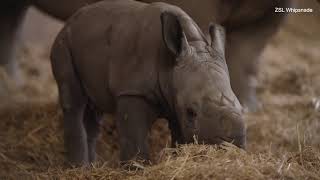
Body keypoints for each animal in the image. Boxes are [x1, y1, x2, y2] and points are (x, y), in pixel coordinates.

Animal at [50, 0, 245, 166]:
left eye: (243, 109)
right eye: (191, 112)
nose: (235, 143)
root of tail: (69, 22)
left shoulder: (175, 98)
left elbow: (180, 134)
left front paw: (178, 157)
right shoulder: (132, 90)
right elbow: (134, 136)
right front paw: (136, 168)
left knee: (93, 108)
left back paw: (91, 167)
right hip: (63, 43)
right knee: (74, 103)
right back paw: (78, 168)